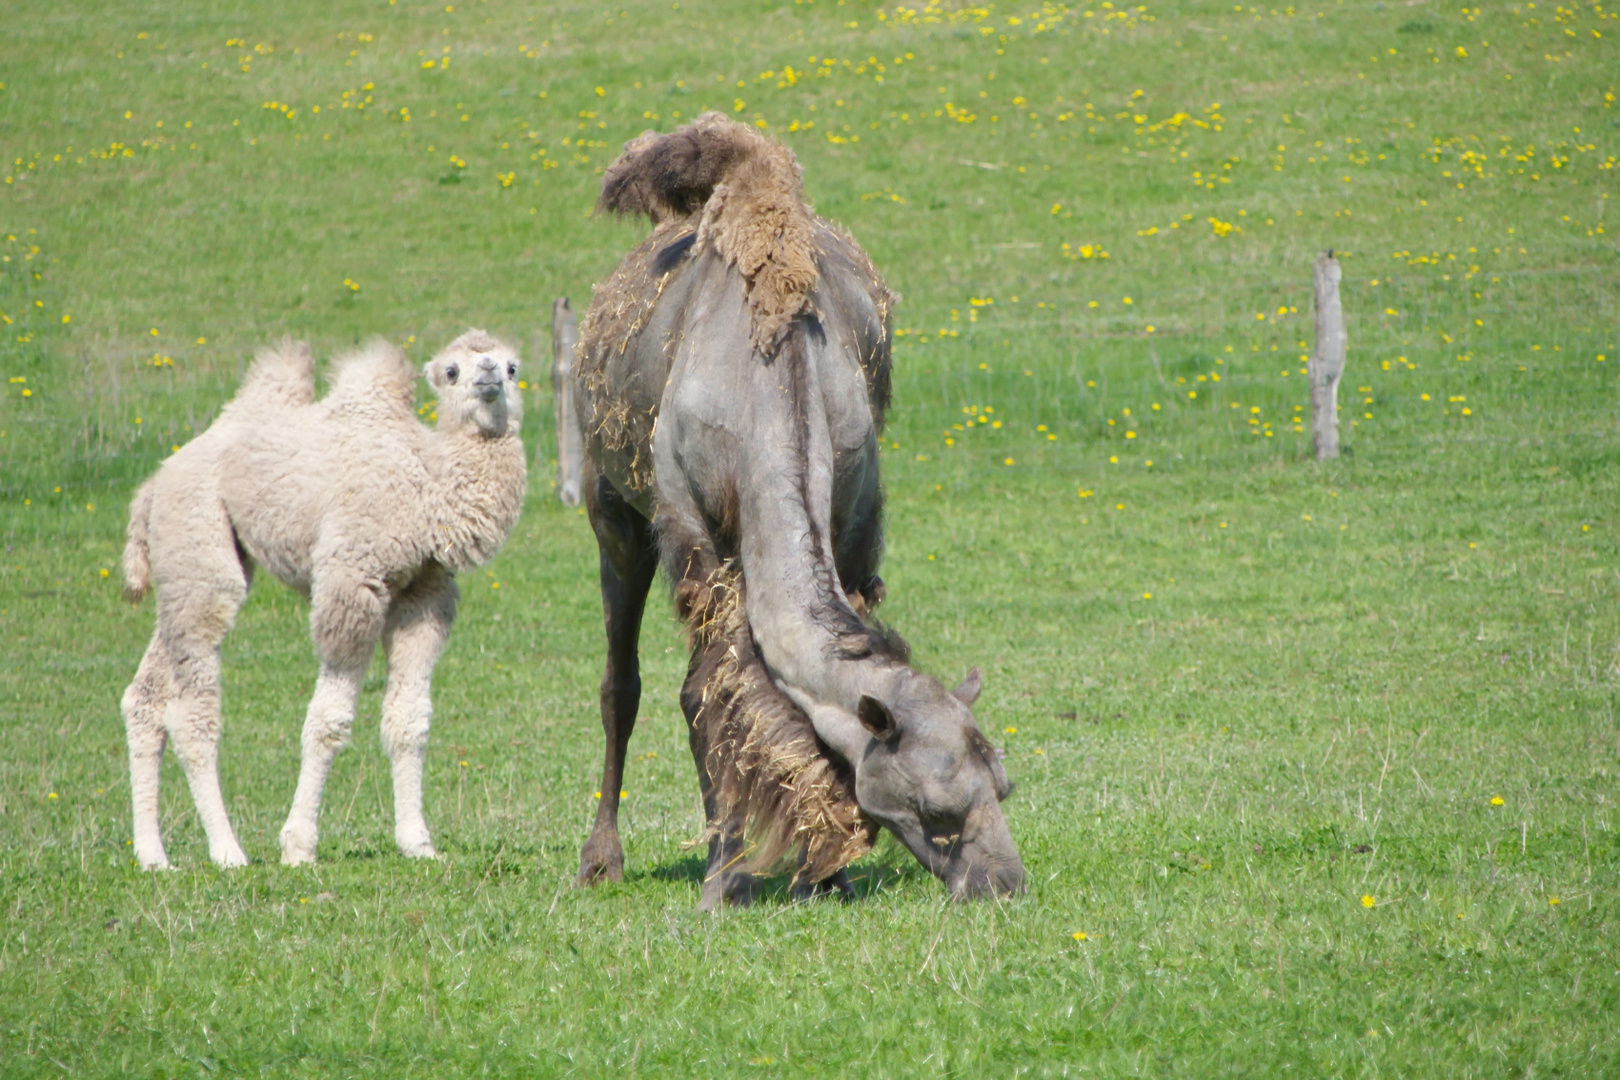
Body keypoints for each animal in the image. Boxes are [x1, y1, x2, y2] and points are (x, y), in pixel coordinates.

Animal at [119, 330, 524, 867]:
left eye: (512, 367)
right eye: (452, 371)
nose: (489, 377)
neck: (426, 493)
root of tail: (155, 480)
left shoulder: (424, 593)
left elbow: (409, 722)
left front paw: (418, 842)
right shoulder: (350, 583)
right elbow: (328, 723)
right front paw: (298, 845)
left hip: (191, 566)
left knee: (144, 697)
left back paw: (153, 857)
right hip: (199, 541)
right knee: (190, 709)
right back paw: (228, 851)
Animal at [573, 114, 1023, 906]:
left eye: (1003, 783)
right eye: (933, 809)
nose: (1005, 883)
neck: (771, 389)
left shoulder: (853, 526)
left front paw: (829, 875)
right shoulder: (692, 533)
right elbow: (705, 697)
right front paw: (721, 878)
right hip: (611, 510)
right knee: (619, 683)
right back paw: (601, 858)